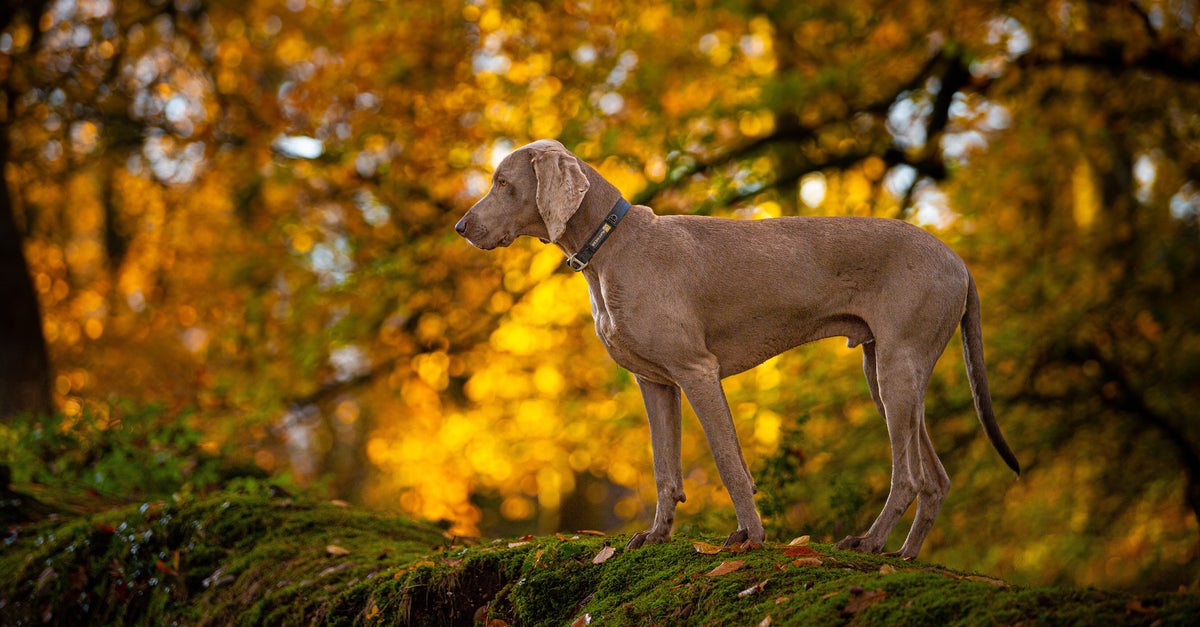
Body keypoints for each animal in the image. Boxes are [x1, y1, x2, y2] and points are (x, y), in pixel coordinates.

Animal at [453, 138, 1017, 557]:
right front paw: (656, 535)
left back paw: (869, 542)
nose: (460, 227)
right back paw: (904, 555)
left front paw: (750, 536)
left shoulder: (697, 371)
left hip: (897, 370)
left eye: (502, 183)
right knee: (935, 479)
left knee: (909, 476)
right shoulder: (655, 383)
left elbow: (728, 461)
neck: (611, 243)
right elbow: (664, 468)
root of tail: (959, 262)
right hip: (886, 372)